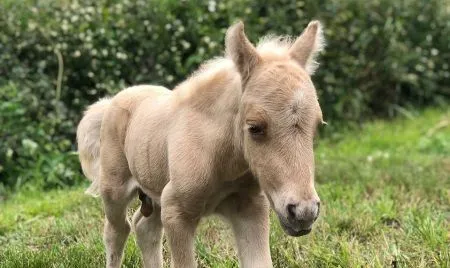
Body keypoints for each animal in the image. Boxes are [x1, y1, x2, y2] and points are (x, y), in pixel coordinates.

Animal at [76, 19, 324, 266]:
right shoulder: (175, 211)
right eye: (255, 127)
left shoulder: (250, 207)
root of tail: (111, 102)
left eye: (316, 125)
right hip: (114, 190)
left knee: (145, 227)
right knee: (117, 231)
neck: (220, 159)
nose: (304, 213)